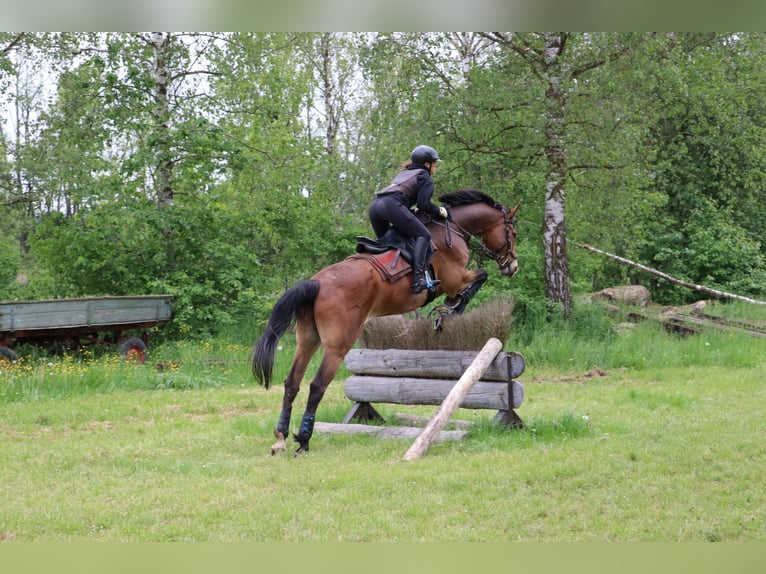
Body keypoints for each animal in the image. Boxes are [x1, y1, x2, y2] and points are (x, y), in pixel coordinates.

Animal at [255, 191, 520, 456]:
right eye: (513, 233)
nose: (512, 266)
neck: (451, 229)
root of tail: (316, 283)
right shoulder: (454, 279)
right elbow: (480, 277)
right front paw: (453, 306)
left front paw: (450, 307)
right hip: (337, 345)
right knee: (317, 386)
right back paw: (304, 440)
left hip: (308, 339)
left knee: (292, 383)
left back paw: (280, 437)